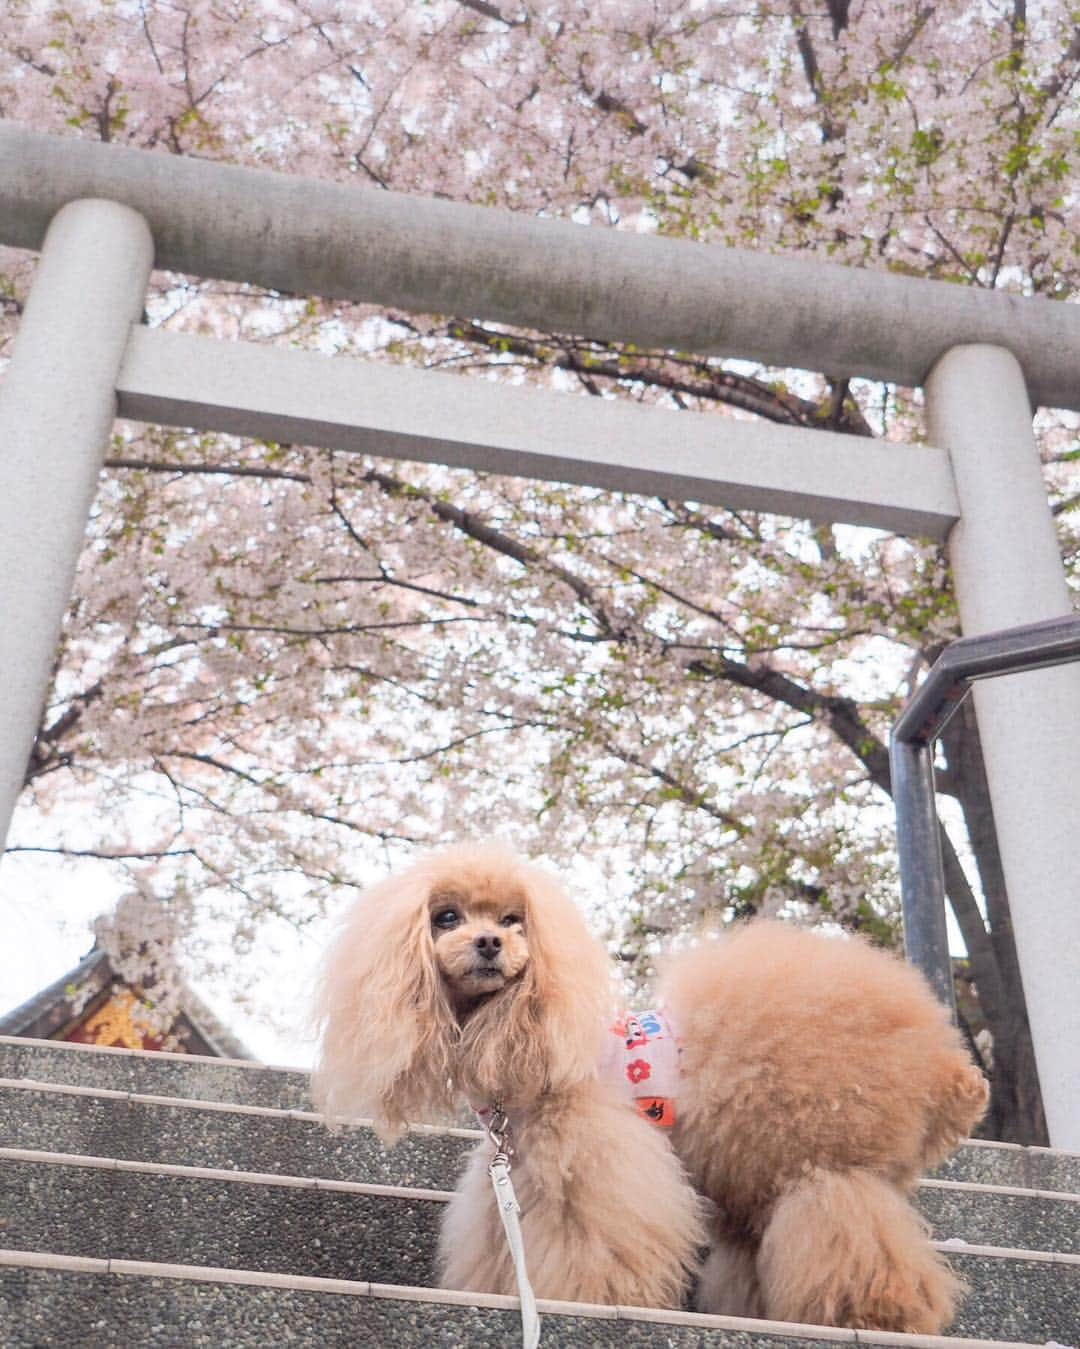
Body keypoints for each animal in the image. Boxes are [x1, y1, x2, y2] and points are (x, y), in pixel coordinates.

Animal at [311, 841, 986, 1327]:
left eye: (514, 920)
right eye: (445, 917)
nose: (488, 942)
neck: (512, 1029)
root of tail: (943, 1062)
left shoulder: (591, 1156)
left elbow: (593, 1236)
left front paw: (585, 1299)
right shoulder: (515, 1165)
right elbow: (502, 1241)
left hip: (822, 1155)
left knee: (848, 1224)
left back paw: (878, 1311)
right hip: (753, 1162)